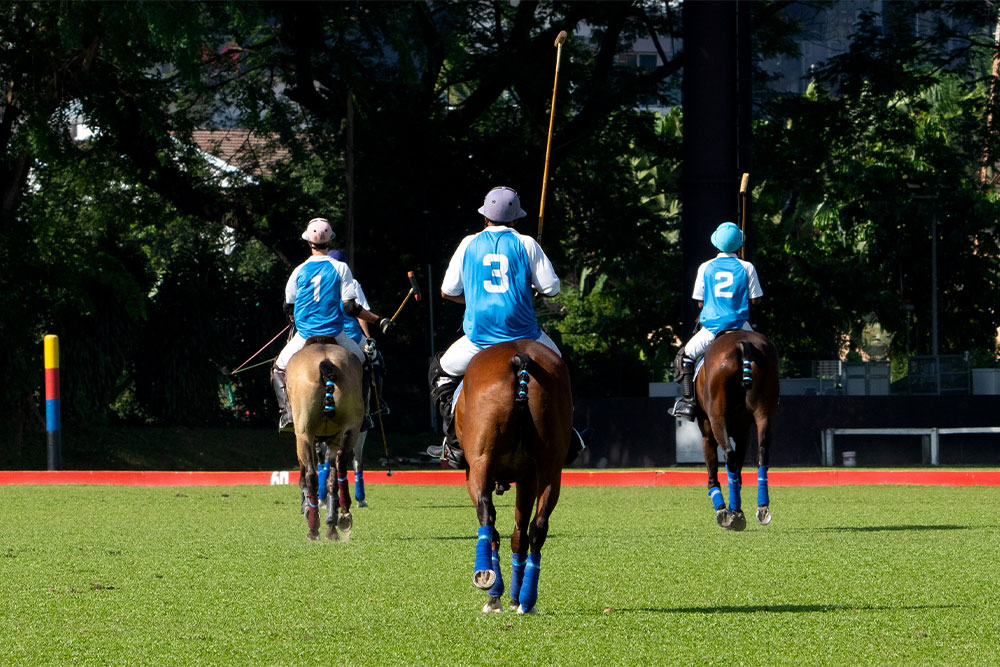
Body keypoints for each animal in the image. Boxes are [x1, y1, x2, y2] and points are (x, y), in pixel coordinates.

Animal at [286, 336, 364, 540]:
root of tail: (325, 360)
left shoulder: (301, 436)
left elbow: (305, 475)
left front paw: (307, 508)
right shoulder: (334, 438)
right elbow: (331, 477)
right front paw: (332, 522)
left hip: (304, 431)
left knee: (311, 474)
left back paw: (313, 527)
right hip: (351, 426)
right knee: (339, 466)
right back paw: (342, 517)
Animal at [458, 340, 576, 616]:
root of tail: (520, 357)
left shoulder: (475, 472)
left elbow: (494, 530)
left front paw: (497, 595)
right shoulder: (528, 477)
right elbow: (518, 535)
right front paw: (514, 597)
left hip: (479, 463)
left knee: (486, 515)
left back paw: (487, 580)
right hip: (551, 467)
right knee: (537, 527)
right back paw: (527, 599)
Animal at [696, 328, 780, 532]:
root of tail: (743, 343)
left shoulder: (707, 429)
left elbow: (713, 468)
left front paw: (724, 510)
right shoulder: (744, 432)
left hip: (716, 416)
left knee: (729, 455)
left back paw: (729, 514)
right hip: (764, 410)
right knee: (762, 453)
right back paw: (761, 508)